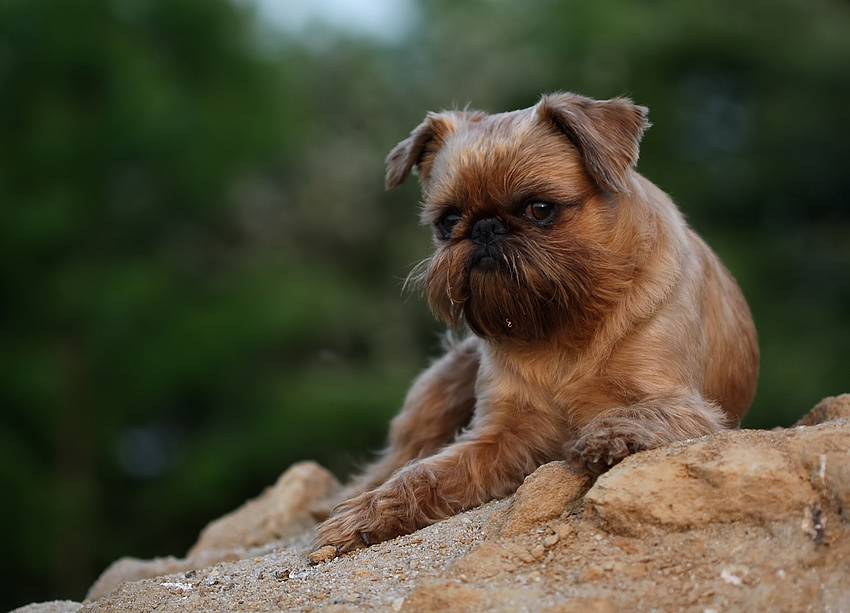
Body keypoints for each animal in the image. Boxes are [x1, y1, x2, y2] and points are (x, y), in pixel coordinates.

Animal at [314, 92, 760, 556]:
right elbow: (426, 472)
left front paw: (610, 435)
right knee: (400, 455)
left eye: (540, 208)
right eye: (449, 221)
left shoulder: (684, 405)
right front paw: (371, 511)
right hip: (444, 384)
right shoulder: (498, 434)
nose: (485, 228)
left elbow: (639, 412)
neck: (565, 322)